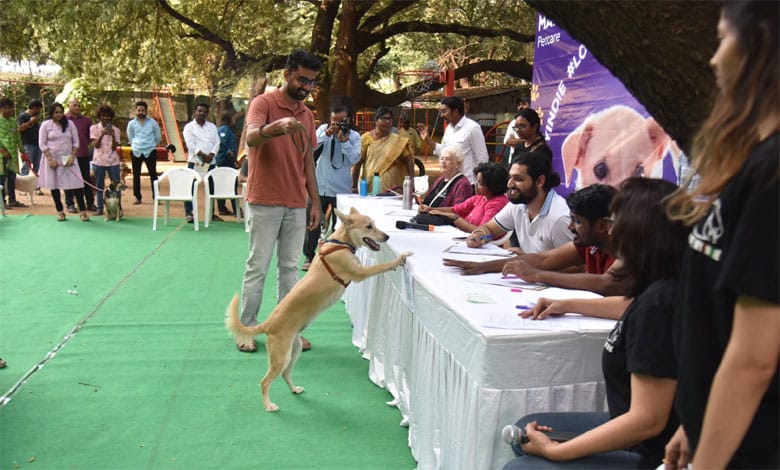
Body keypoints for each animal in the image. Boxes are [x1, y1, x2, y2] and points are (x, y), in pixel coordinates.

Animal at [224, 207, 412, 414]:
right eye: (369, 227)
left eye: (375, 224)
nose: (387, 236)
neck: (340, 244)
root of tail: (268, 324)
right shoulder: (360, 273)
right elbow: (381, 266)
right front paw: (399, 259)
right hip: (280, 356)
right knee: (265, 382)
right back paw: (269, 405)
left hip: (294, 350)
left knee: (285, 374)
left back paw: (295, 389)